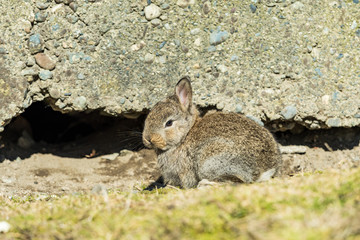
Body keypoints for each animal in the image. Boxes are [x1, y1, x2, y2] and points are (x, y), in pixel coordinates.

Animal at [142, 76, 282, 188]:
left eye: (169, 123)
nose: (148, 139)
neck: (185, 134)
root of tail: (265, 169)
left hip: (212, 160)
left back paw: (205, 184)